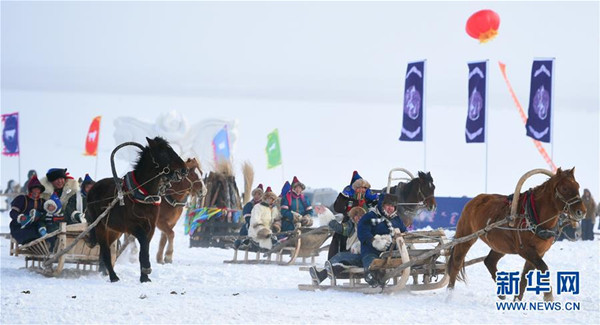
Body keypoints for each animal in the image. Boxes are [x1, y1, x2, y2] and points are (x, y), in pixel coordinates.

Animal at [86, 137, 188, 280]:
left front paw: (144, 277)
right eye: (163, 153)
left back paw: (104, 272)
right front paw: (146, 269)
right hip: (100, 226)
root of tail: (93, 188)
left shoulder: (151, 228)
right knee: (105, 250)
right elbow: (143, 244)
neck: (143, 194)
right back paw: (113, 277)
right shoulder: (133, 226)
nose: (184, 169)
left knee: (105, 249)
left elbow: (144, 248)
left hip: (114, 230)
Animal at [448, 168, 584, 300]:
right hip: (466, 236)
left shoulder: (539, 252)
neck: (534, 216)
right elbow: (543, 267)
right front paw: (548, 296)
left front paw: (517, 300)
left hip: (501, 245)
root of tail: (475, 200)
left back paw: (501, 291)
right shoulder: (525, 249)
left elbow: (525, 276)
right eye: (564, 188)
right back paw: (449, 293)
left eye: (578, 186)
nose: (581, 211)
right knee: (456, 263)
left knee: (489, 261)